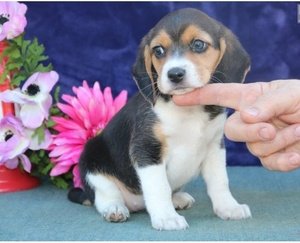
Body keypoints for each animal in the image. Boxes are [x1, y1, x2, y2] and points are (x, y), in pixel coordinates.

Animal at [69, 7, 252, 231]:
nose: (175, 74)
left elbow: (220, 182)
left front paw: (229, 207)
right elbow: (159, 188)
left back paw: (178, 199)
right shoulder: (147, 150)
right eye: (158, 51)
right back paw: (115, 209)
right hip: (92, 161)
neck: (187, 110)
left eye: (198, 44)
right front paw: (166, 217)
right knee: (105, 196)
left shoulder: (214, 147)